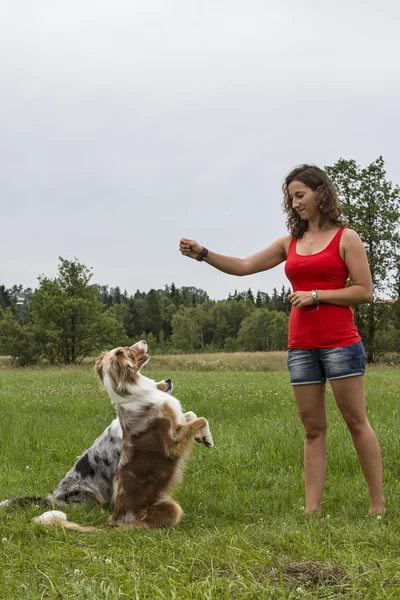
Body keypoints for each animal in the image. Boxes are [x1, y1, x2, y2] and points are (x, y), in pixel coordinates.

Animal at [36, 340, 214, 532]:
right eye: (129, 351)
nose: (144, 340)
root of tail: (115, 519)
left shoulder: (177, 421)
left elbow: (192, 415)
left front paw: (206, 438)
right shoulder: (173, 439)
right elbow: (201, 419)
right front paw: (204, 436)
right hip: (169, 508)